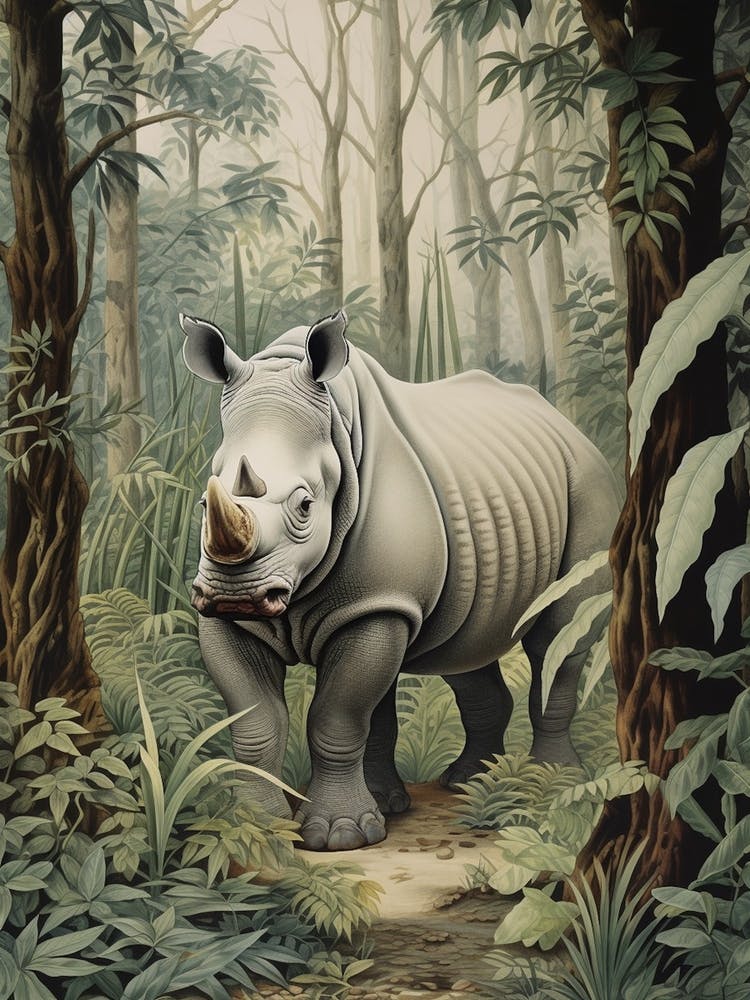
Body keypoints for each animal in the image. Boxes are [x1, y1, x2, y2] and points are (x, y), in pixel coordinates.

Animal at [180, 309, 619, 851]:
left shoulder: (377, 603)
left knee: (558, 638)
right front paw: (251, 825)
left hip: (588, 485)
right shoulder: (255, 616)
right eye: (205, 502)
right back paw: (468, 782)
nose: (234, 595)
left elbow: (337, 717)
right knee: (464, 648)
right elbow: (259, 720)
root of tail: (568, 428)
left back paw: (552, 783)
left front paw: (340, 837)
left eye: (305, 506)